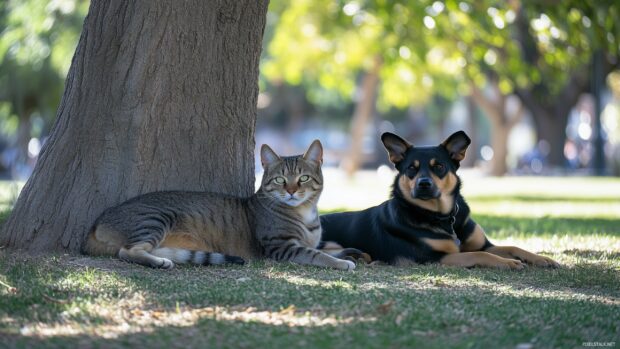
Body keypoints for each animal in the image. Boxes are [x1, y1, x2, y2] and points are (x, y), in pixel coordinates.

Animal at [82, 140, 354, 270]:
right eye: (280, 180)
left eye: (303, 178)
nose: (291, 191)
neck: (305, 214)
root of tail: (95, 224)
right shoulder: (282, 247)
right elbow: (317, 254)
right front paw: (342, 263)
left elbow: (329, 248)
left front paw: (348, 252)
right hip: (154, 218)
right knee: (126, 251)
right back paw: (157, 263)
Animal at [322, 130, 560, 270]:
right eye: (411, 169)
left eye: (439, 166)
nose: (424, 184)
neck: (443, 217)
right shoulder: (435, 257)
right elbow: (479, 255)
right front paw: (509, 262)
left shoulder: (484, 244)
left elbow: (512, 246)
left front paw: (541, 259)